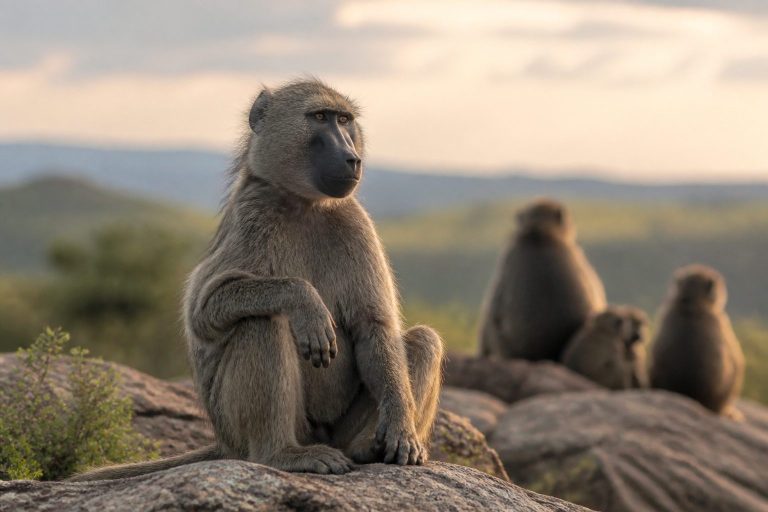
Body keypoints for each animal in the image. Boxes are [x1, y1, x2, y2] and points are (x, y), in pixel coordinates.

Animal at [68, 79, 444, 481]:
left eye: (345, 120)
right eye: (320, 117)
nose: (351, 158)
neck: (305, 204)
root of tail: (224, 444)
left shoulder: (356, 223)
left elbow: (373, 327)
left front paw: (401, 432)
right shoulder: (252, 215)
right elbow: (202, 309)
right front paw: (306, 303)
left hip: (338, 432)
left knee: (424, 340)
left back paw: (367, 449)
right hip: (239, 425)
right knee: (262, 322)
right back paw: (282, 454)